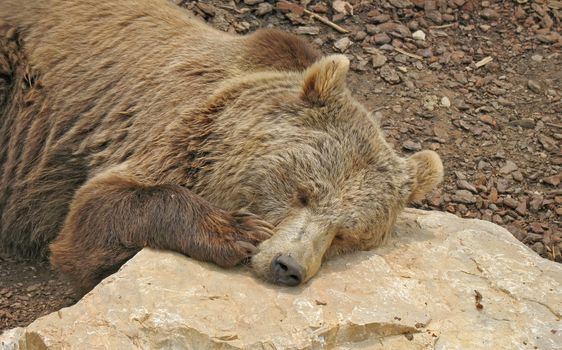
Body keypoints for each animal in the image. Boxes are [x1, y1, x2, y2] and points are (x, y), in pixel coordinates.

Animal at [1, 0, 442, 292]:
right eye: (302, 193)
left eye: (346, 234)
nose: (289, 266)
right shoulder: (173, 132)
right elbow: (94, 213)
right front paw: (237, 231)